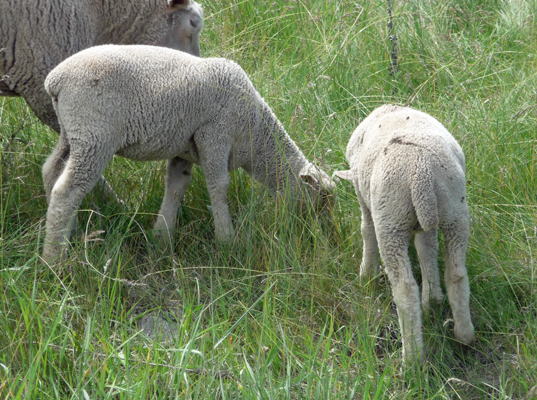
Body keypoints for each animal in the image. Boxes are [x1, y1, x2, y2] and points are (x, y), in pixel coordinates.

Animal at [40, 44, 336, 262]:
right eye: (321, 199)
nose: (326, 238)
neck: (257, 135)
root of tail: (55, 81)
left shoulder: (184, 148)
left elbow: (176, 187)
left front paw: (161, 238)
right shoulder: (214, 135)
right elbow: (219, 186)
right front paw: (227, 240)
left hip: (71, 133)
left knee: (51, 172)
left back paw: (68, 234)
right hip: (95, 133)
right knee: (67, 189)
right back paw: (54, 258)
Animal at [338, 104, 476, 364]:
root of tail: (421, 172)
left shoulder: (363, 198)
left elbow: (366, 230)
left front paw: (366, 276)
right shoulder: (426, 222)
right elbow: (426, 249)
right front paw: (433, 300)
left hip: (391, 221)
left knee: (405, 289)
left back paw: (412, 359)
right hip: (454, 210)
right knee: (456, 274)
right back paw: (464, 336)